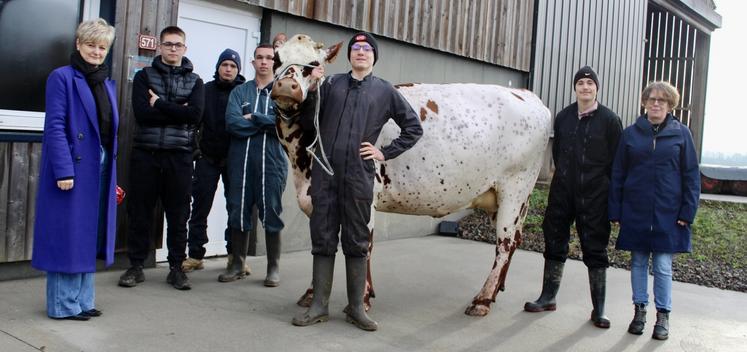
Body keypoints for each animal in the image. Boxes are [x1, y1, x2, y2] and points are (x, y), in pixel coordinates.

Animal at [272, 35, 552, 316]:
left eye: (314, 64)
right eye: (277, 59)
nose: (286, 86)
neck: (302, 164)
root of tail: (527, 95)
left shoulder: (365, 196)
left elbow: (364, 244)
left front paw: (363, 298)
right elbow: (321, 241)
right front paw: (311, 294)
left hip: (514, 190)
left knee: (505, 243)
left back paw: (482, 300)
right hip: (506, 198)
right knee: (515, 239)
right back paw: (496, 290)